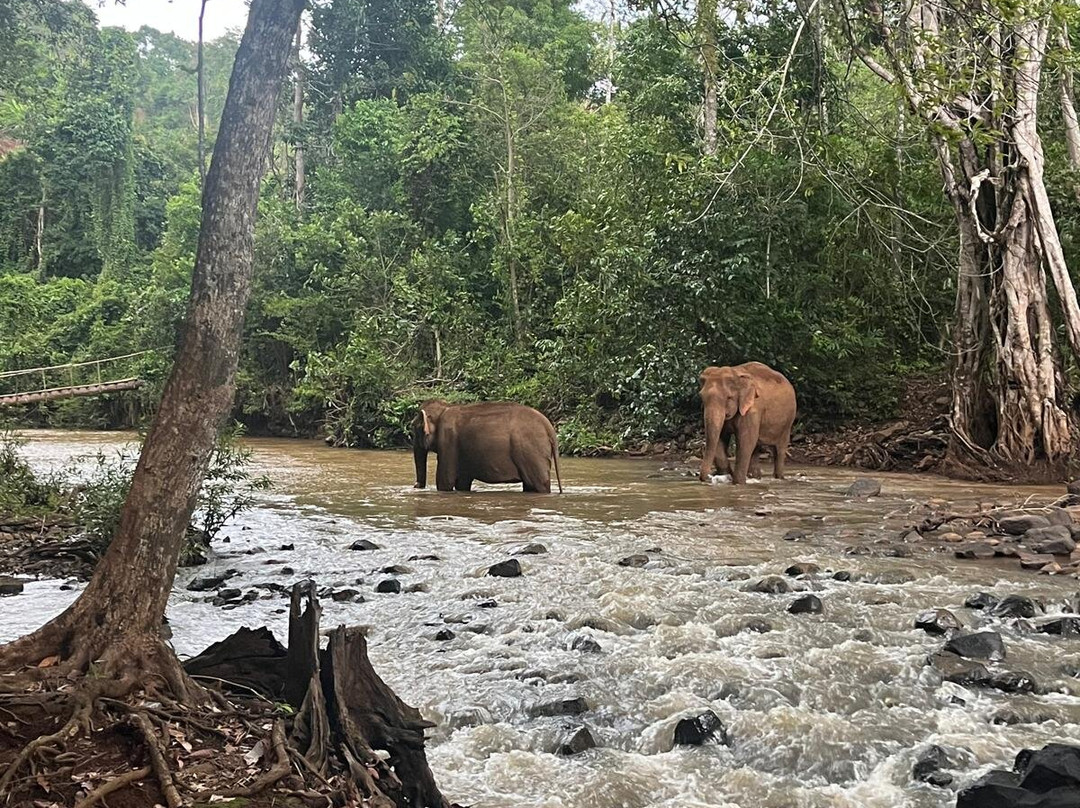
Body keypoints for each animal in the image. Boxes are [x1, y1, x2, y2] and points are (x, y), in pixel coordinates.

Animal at [412, 400, 563, 493]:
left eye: (415, 429)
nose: (415, 485)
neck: (445, 407)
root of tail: (549, 427)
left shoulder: (448, 441)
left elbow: (445, 481)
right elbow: (462, 482)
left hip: (532, 454)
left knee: (539, 485)